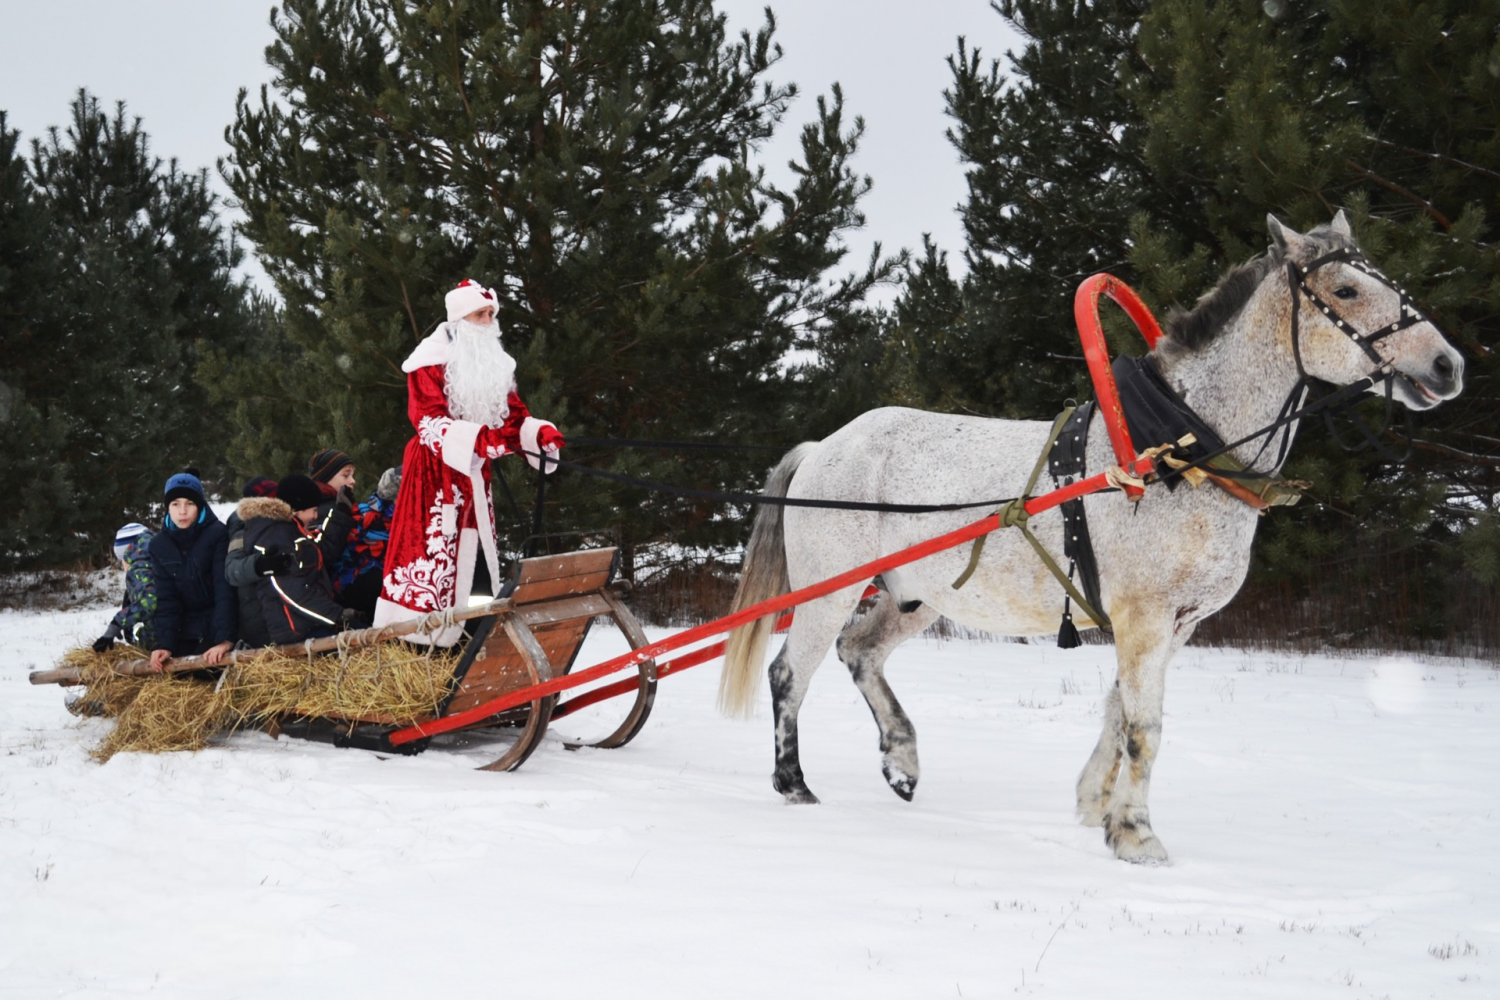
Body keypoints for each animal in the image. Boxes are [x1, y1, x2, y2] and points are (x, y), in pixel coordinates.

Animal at [720, 215, 1458, 863]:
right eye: (1346, 290)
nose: (1448, 365)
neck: (1176, 452)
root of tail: (824, 446)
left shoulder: (1177, 623)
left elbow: (1118, 713)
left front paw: (1096, 808)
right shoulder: (1144, 616)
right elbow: (1145, 726)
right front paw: (1137, 836)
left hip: (918, 594)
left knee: (861, 653)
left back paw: (901, 760)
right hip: (828, 590)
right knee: (790, 673)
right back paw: (795, 784)